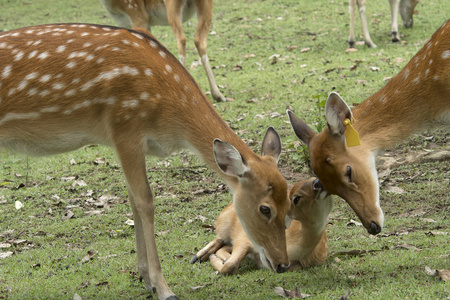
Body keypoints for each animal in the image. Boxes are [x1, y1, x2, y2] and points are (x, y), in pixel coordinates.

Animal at [0, 24, 292, 300]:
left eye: (290, 204)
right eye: (265, 209)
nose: (283, 265)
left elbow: (132, 200)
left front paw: (145, 278)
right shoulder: (125, 128)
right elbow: (145, 202)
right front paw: (164, 288)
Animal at [190, 178, 334, 274]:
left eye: (311, 177)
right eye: (296, 198)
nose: (318, 182)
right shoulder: (245, 238)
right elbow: (230, 266)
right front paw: (216, 260)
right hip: (225, 221)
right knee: (219, 237)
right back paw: (199, 256)